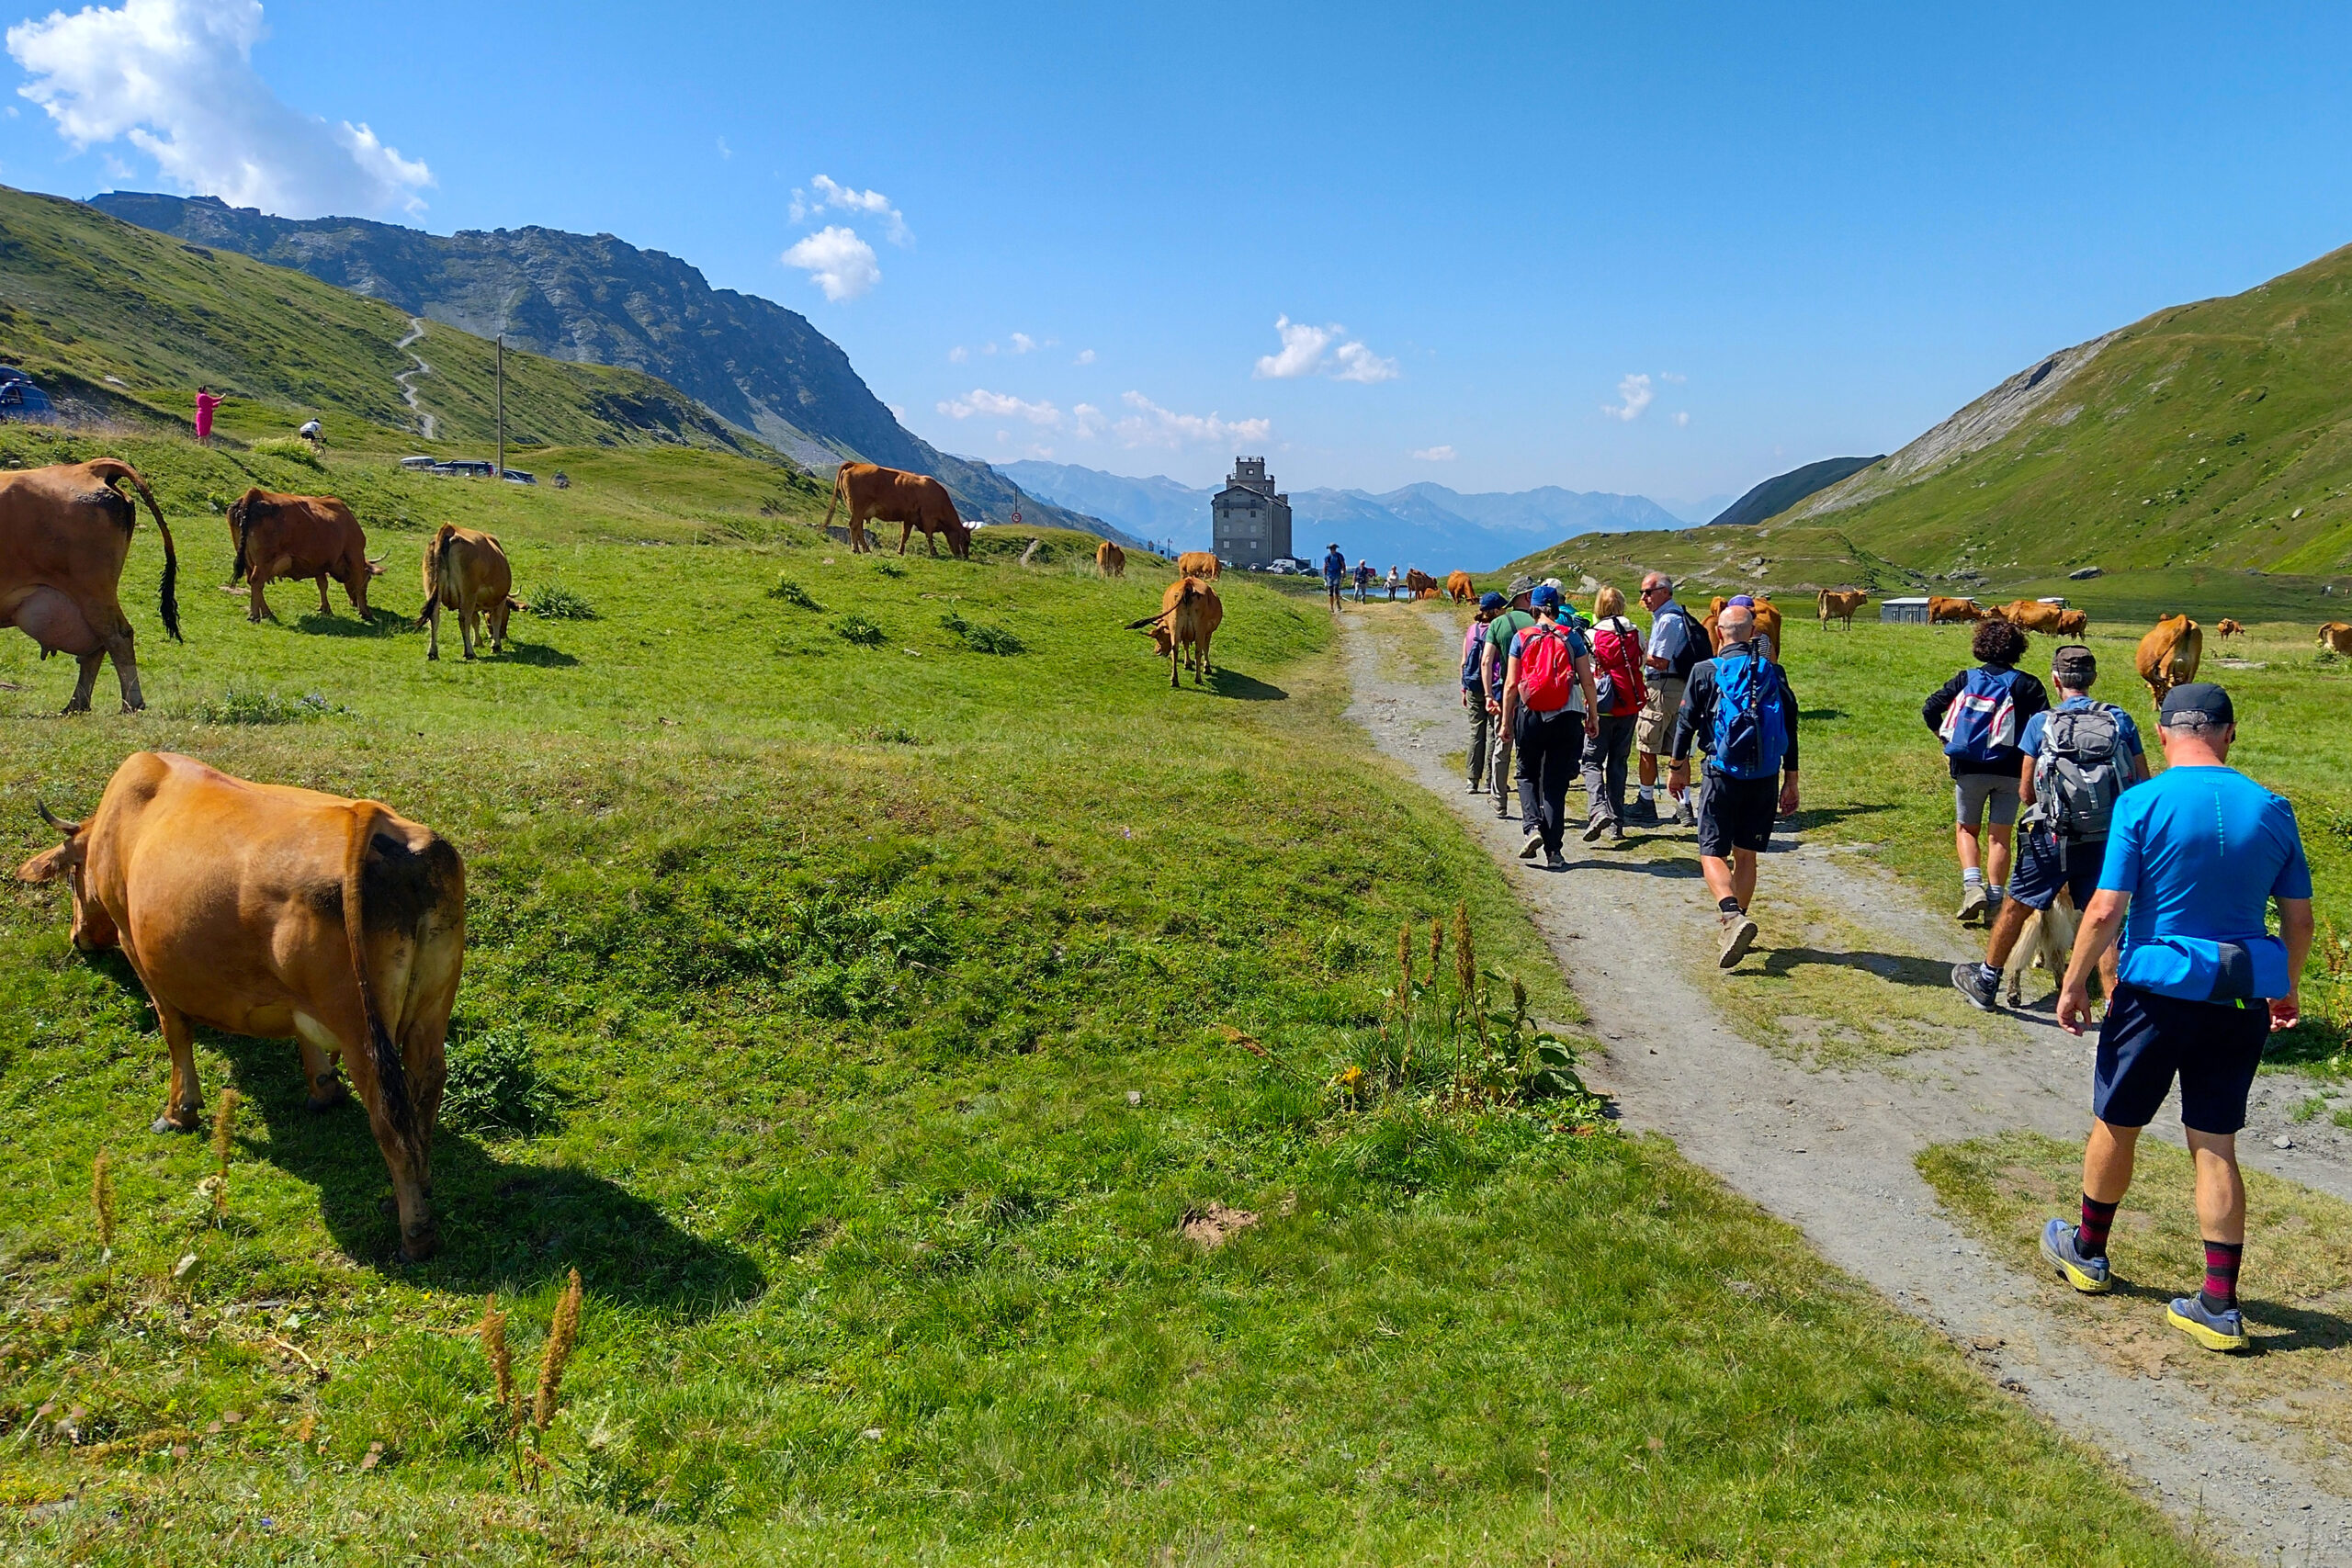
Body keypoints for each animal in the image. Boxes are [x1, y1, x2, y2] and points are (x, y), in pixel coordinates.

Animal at [0, 460, 181, 709]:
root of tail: (90, 467)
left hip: (91, 590)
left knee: (117, 637)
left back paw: (131, 702)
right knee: (98, 645)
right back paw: (77, 704)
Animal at [17, 751, 463, 1259]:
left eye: (73, 875)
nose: (78, 938)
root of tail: (372, 820)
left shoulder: (139, 949)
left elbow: (175, 1032)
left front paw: (179, 1111)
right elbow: (306, 1041)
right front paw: (323, 1089)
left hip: (360, 1027)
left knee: (389, 1111)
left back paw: (416, 1233)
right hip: (430, 1007)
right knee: (426, 1083)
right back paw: (419, 1185)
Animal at [227, 486, 383, 620]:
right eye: (369, 578)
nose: (353, 603)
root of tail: (255, 493)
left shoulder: (319, 562)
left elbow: (323, 584)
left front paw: (325, 608)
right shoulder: (355, 553)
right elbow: (359, 583)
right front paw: (365, 612)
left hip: (248, 560)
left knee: (252, 582)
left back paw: (267, 613)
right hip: (265, 561)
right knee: (257, 582)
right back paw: (256, 615)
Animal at [418, 526, 519, 662]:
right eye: (508, 614)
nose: (504, 635)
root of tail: (450, 529)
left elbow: (475, 620)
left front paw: (478, 642)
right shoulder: (500, 600)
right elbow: (495, 620)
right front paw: (496, 645)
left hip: (431, 589)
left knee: (434, 617)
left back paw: (433, 652)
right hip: (468, 593)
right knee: (464, 619)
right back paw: (469, 652)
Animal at [823, 463, 968, 561]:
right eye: (966, 541)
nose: (965, 557)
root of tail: (856, 464)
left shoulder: (909, 518)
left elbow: (905, 535)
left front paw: (900, 551)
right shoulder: (928, 517)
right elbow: (929, 535)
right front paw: (934, 552)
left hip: (856, 510)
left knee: (859, 527)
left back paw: (866, 549)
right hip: (858, 507)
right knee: (853, 525)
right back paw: (855, 549)